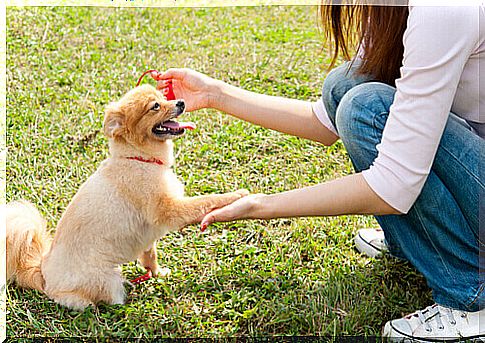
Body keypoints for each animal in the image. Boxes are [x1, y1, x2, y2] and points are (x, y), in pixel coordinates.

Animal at [7, 84, 248, 310]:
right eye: (155, 107)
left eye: (164, 97)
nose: (180, 102)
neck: (139, 158)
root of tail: (43, 272)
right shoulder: (170, 210)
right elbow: (206, 200)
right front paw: (236, 195)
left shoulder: (149, 236)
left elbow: (150, 256)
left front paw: (157, 273)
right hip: (106, 279)